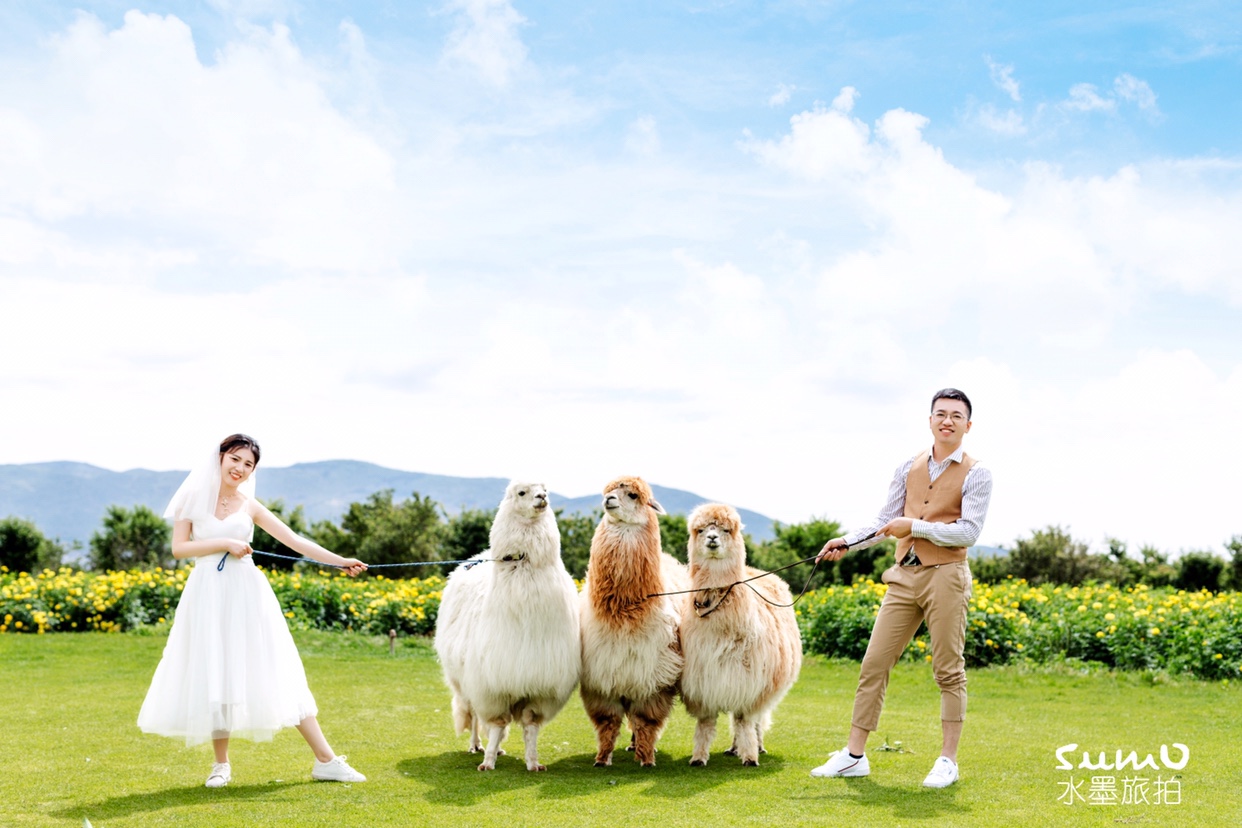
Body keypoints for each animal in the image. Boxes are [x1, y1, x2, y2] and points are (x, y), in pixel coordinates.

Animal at [433, 481, 581, 771]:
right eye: (521, 492)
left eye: (545, 488)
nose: (542, 497)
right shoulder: (493, 686)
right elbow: (497, 723)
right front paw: (487, 762)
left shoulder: (540, 685)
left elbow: (530, 727)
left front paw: (533, 763)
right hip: (466, 681)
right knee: (476, 717)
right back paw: (476, 746)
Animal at [579, 475, 689, 767]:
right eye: (608, 490)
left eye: (632, 495)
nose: (608, 500)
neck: (624, 615)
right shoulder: (601, 676)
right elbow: (607, 722)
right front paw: (602, 758)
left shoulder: (653, 675)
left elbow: (646, 721)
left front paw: (647, 757)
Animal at [679, 503, 802, 767]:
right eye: (700, 530)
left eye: (726, 530)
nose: (712, 538)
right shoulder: (705, 679)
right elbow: (705, 724)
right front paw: (698, 757)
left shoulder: (750, 683)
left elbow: (745, 721)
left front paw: (750, 757)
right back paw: (733, 748)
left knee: (754, 721)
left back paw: (757, 747)